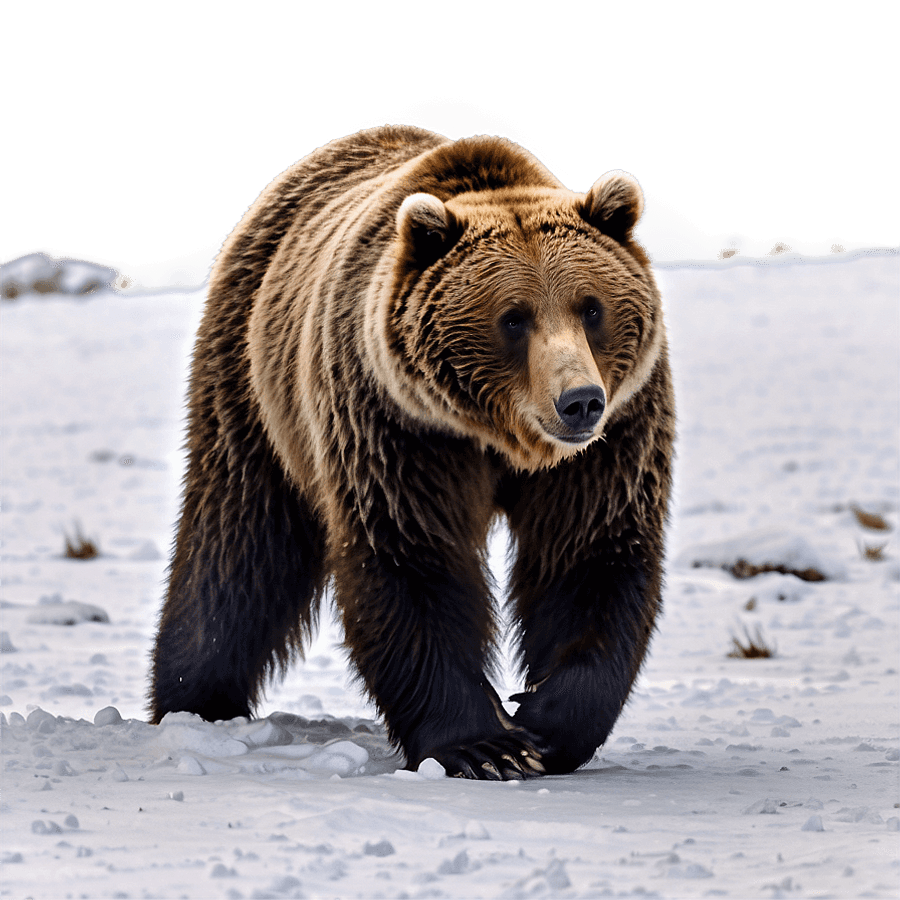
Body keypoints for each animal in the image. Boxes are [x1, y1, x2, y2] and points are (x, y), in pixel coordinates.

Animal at [149, 124, 674, 780]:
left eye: (592, 307)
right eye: (514, 317)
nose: (579, 401)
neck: (500, 440)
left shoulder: (612, 440)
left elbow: (590, 551)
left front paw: (546, 721)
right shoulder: (399, 428)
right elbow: (413, 557)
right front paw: (483, 746)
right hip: (251, 385)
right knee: (238, 544)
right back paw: (193, 702)